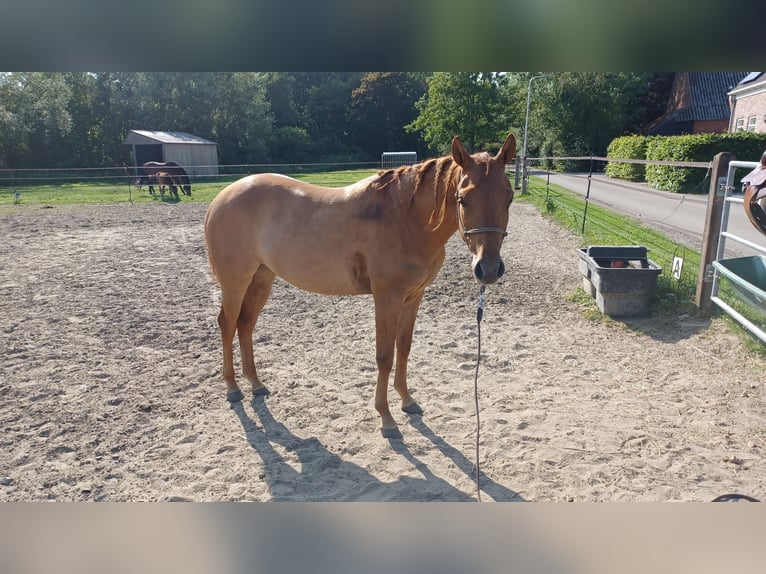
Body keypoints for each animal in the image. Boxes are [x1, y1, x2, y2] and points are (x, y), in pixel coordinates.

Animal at [204, 132, 516, 438]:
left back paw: (255, 384)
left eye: (509, 198)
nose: (488, 269)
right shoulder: (387, 298)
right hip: (235, 282)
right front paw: (386, 418)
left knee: (245, 324)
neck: (405, 219)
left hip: (261, 279)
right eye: (462, 199)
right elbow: (384, 356)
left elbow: (404, 347)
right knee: (228, 324)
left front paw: (407, 400)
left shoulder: (414, 297)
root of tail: (221, 198)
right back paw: (233, 388)